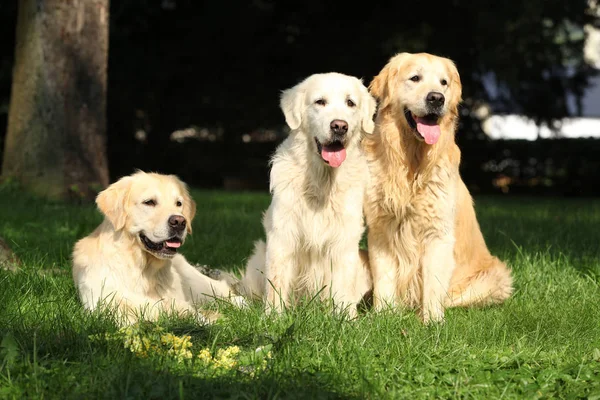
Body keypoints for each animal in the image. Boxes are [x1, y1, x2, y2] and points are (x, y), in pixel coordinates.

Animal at [70, 170, 239, 324]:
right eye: (149, 202)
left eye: (178, 203)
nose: (179, 222)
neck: (143, 271)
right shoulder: (105, 306)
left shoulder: (180, 305)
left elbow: (200, 319)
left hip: (200, 286)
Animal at [239, 71, 376, 316]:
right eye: (320, 102)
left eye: (350, 103)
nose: (339, 126)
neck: (321, 182)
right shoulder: (282, 235)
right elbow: (277, 281)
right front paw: (273, 316)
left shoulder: (344, 240)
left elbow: (342, 286)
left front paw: (345, 318)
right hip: (257, 259)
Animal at [364, 53, 512, 324]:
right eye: (415, 78)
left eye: (444, 83)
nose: (436, 98)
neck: (412, 165)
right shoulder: (380, 229)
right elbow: (384, 280)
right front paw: (382, 317)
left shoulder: (437, 234)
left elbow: (432, 284)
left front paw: (432, 322)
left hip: (496, 277)